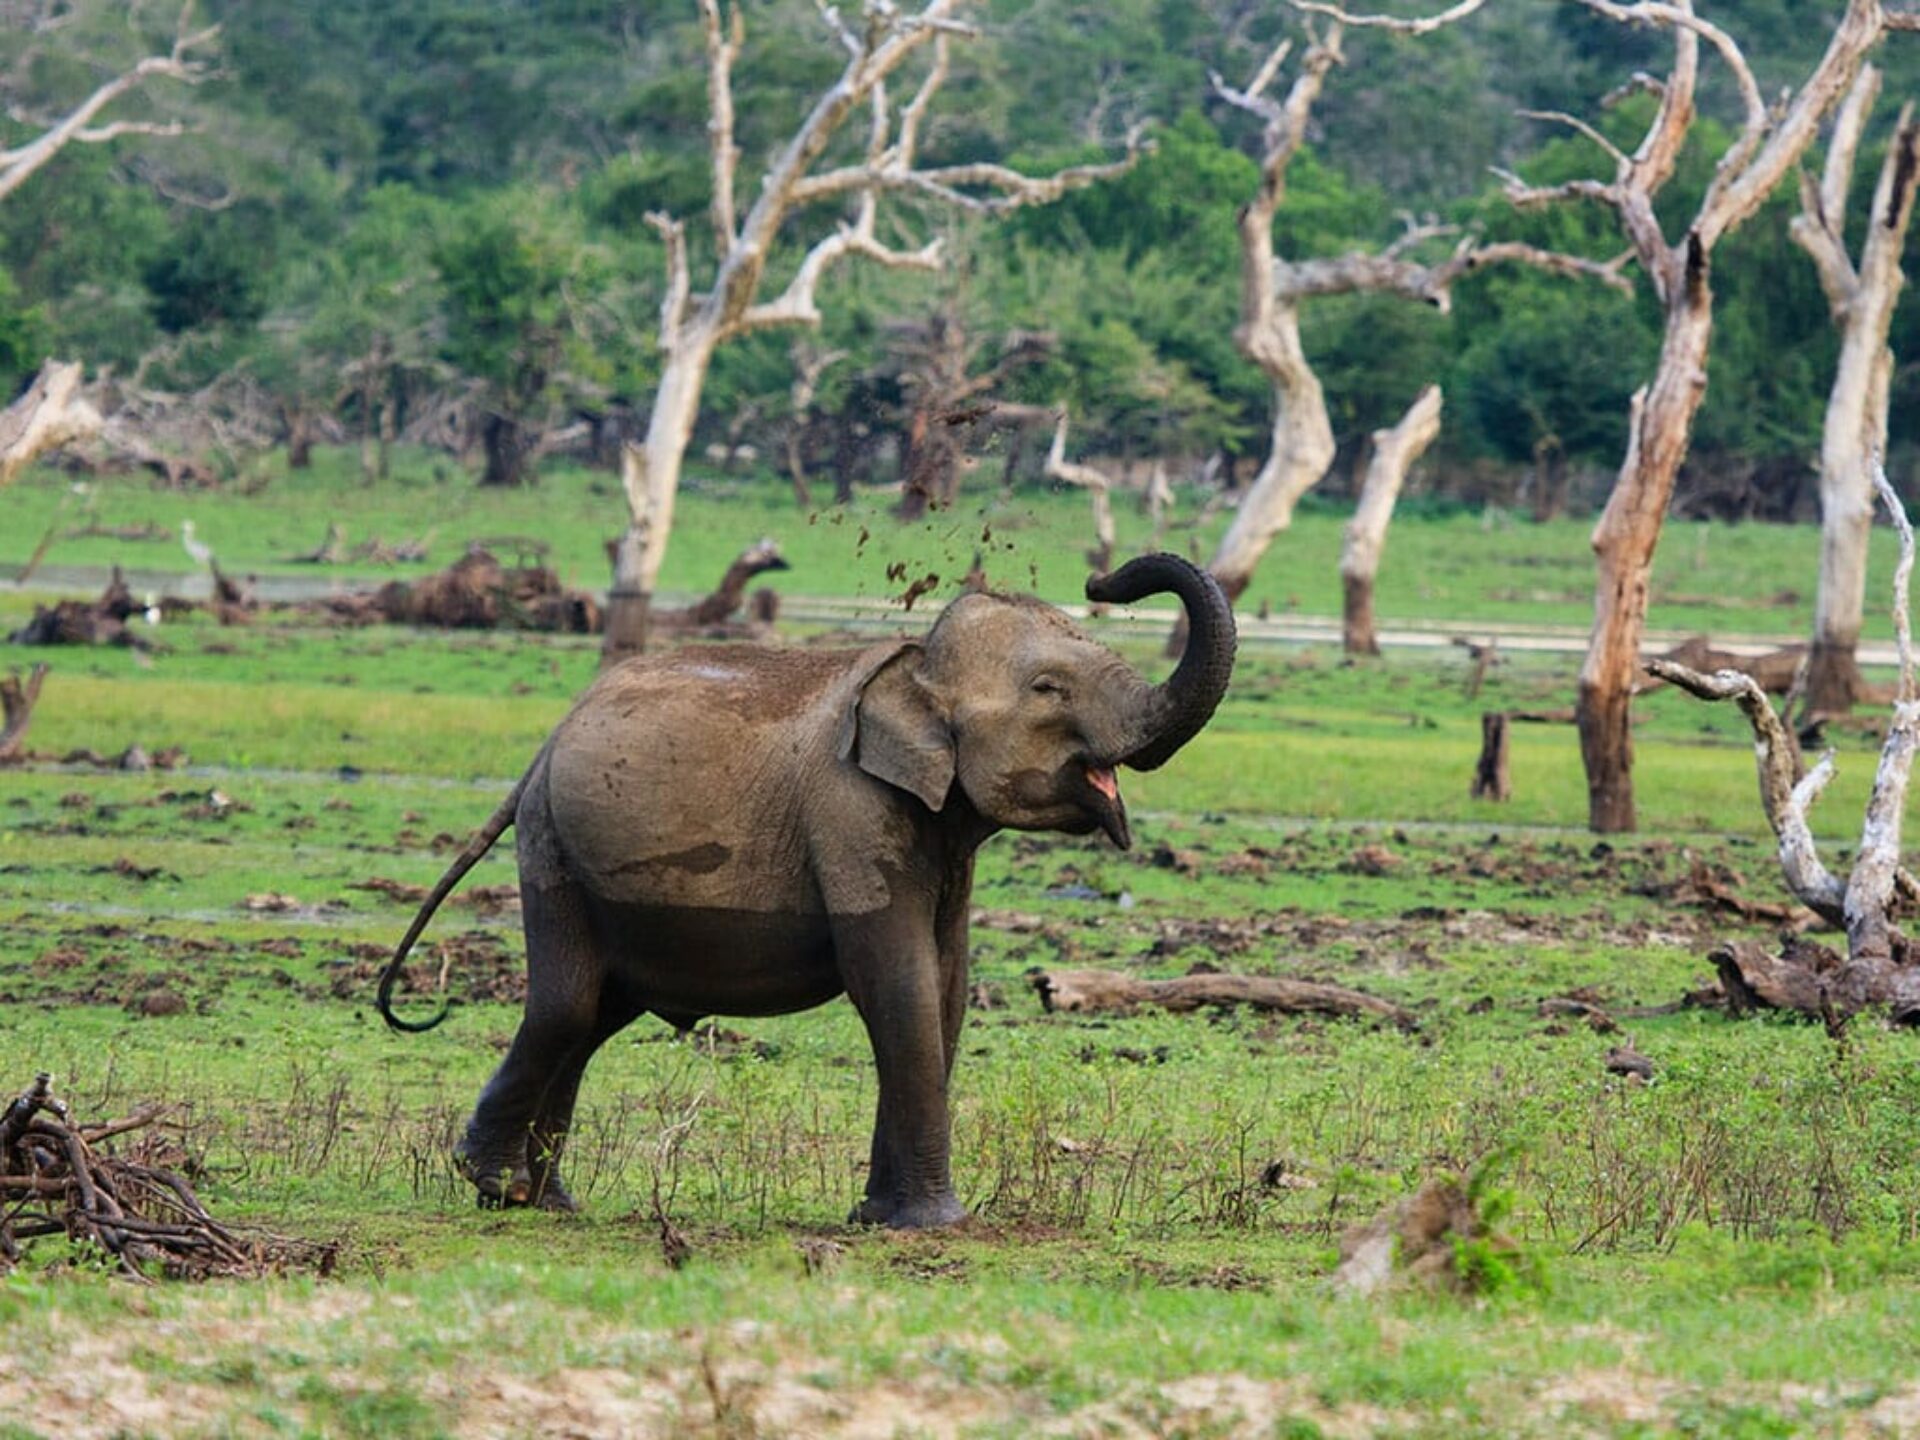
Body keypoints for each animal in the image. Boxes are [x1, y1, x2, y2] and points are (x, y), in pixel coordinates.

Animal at [376, 552, 1236, 1228]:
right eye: (1049, 689)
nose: (1100, 576)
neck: (912, 664)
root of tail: (545, 744)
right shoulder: (850, 811)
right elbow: (896, 983)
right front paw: (936, 1225)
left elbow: (945, 988)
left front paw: (877, 1218)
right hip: (551, 845)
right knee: (565, 1006)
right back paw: (496, 1185)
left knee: (590, 1018)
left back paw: (545, 1202)